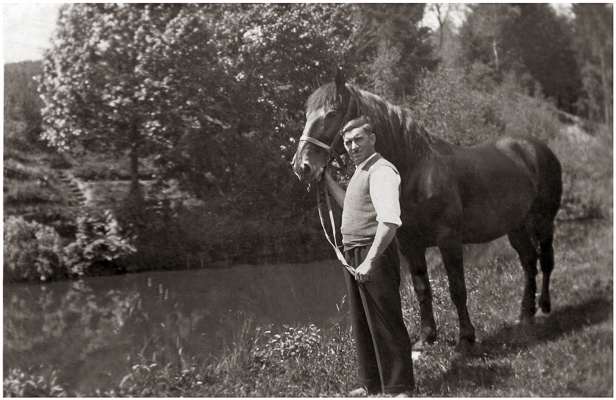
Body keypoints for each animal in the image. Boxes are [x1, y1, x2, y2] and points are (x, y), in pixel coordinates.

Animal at [294, 69, 564, 354]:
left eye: (332, 113)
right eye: (307, 115)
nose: (302, 166)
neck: (416, 171)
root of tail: (536, 148)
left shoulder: (449, 240)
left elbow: (457, 288)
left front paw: (465, 339)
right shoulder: (410, 245)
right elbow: (422, 289)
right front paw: (426, 338)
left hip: (543, 221)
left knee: (545, 259)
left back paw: (544, 307)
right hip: (516, 226)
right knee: (528, 261)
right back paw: (526, 314)